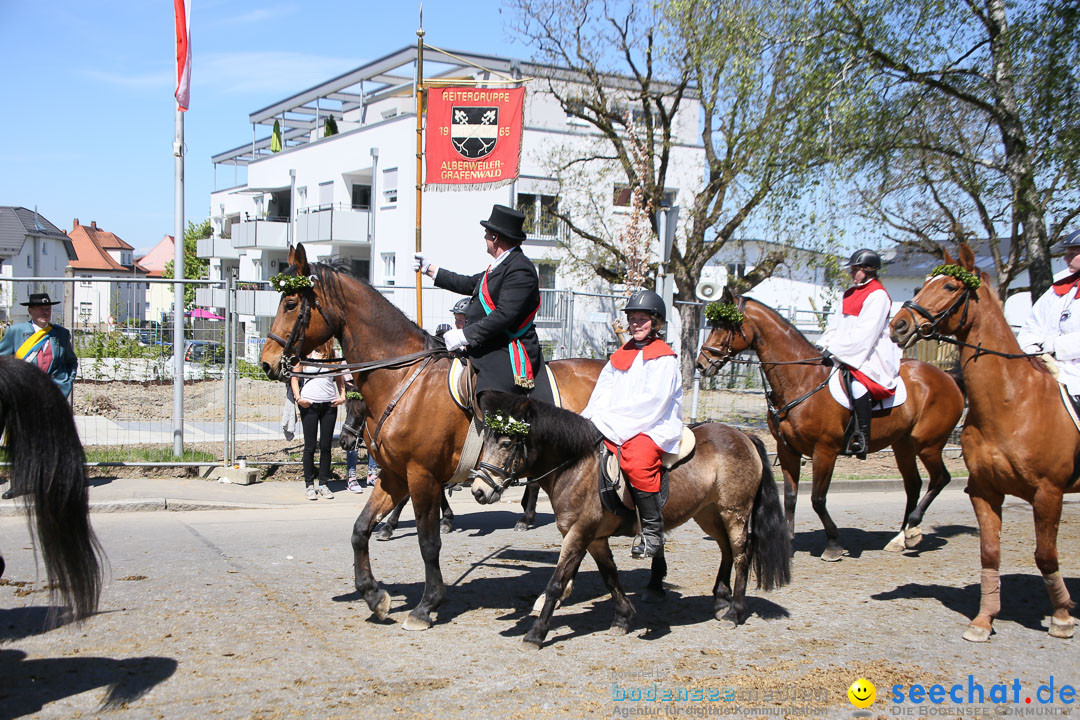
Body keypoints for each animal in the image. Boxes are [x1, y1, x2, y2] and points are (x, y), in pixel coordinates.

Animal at [257, 246, 604, 630]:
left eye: (290, 303)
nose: (267, 363)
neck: (403, 377)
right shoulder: (394, 474)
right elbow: (360, 529)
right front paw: (373, 594)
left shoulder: (421, 474)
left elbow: (428, 541)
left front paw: (426, 604)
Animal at [473, 390, 794, 651]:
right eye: (485, 441)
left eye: (506, 442)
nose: (479, 490)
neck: (577, 465)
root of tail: (743, 436)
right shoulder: (595, 538)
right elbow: (610, 576)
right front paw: (623, 618)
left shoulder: (579, 533)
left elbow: (556, 582)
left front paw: (536, 633)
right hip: (709, 513)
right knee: (726, 550)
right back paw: (720, 600)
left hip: (734, 511)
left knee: (742, 554)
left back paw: (735, 611)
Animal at [695, 289, 967, 561]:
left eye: (726, 325)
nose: (702, 363)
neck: (802, 381)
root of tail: (946, 376)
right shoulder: (788, 450)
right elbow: (790, 497)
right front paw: (789, 541)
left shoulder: (825, 451)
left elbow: (817, 499)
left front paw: (834, 543)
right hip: (903, 445)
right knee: (913, 484)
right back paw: (900, 538)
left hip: (928, 444)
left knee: (940, 478)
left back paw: (912, 529)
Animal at [889, 243, 1075, 643]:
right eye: (921, 285)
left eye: (950, 287)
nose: (899, 326)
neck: (1012, 402)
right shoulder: (985, 490)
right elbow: (989, 553)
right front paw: (983, 619)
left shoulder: (1048, 493)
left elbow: (1045, 555)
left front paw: (1062, 617)